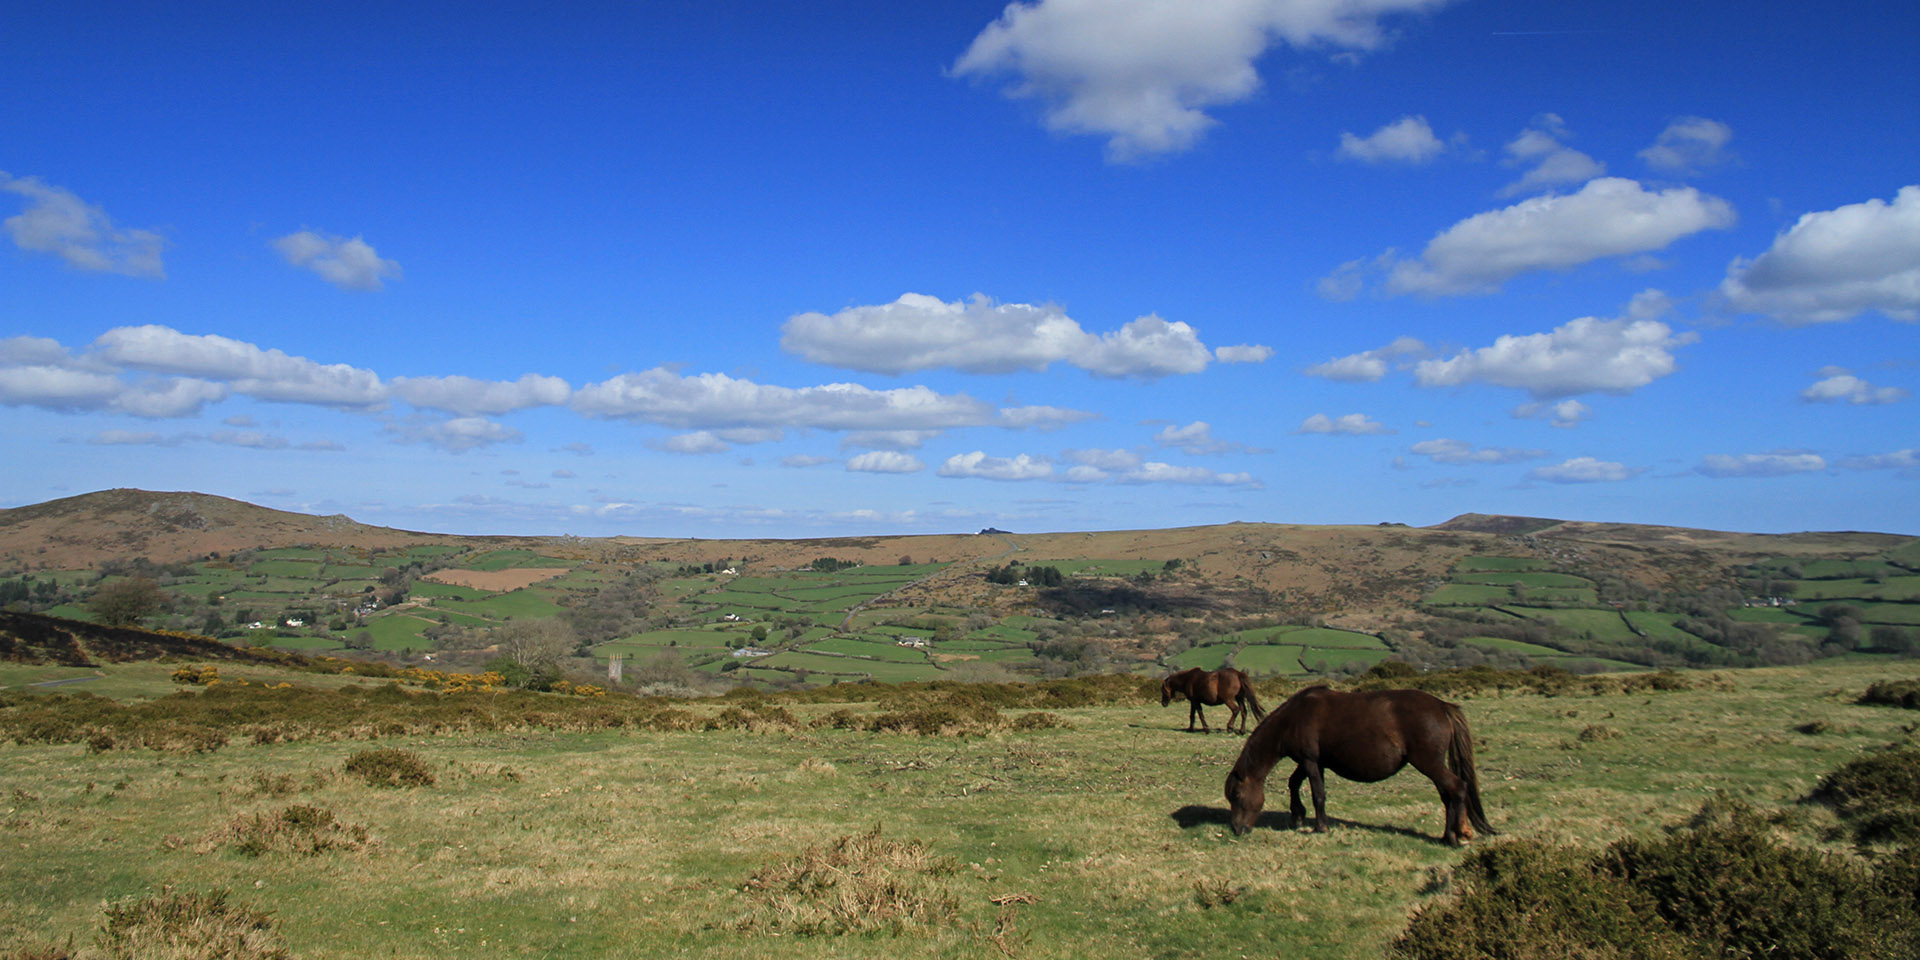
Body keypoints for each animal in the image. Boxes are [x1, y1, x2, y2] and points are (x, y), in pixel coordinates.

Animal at [1228, 683, 1497, 848]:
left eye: (1238, 796)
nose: (1237, 829)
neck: (1293, 718)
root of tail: (1443, 706)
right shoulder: (1314, 763)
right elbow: (1294, 783)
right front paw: (1298, 816)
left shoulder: (1310, 761)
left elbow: (1318, 795)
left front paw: (1320, 827)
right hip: (1434, 765)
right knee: (1448, 794)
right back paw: (1446, 835)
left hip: (1429, 762)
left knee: (1457, 788)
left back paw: (1459, 835)